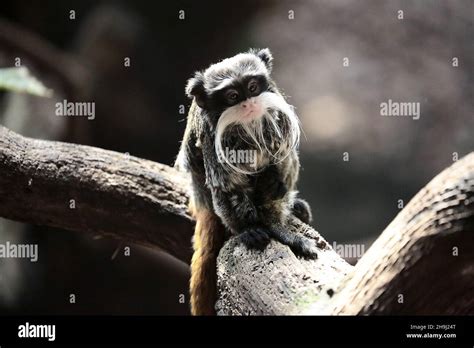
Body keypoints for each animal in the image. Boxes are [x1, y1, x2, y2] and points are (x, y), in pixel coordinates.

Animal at [176, 47, 316, 314]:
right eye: (232, 96)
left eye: (252, 87)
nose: (249, 103)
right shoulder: (211, 138)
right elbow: (226, 185)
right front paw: (251, 230)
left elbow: (279, 162)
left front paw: (277, 220)